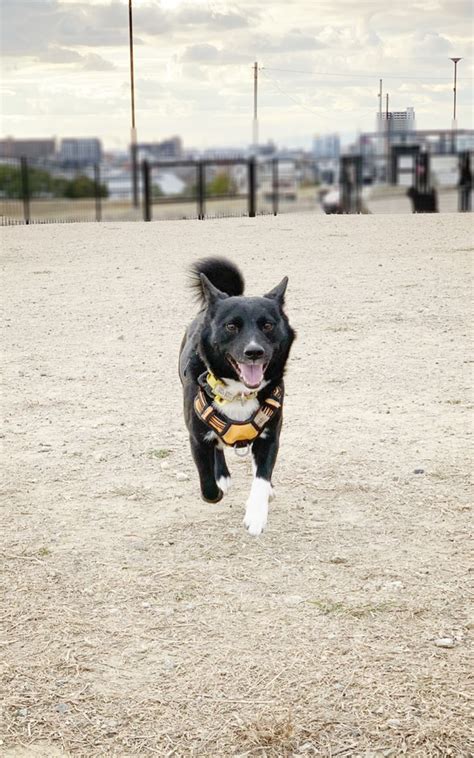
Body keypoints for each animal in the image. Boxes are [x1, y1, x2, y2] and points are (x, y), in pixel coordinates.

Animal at [179, 258, 294, 536]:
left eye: (268, 325)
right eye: (231, 326)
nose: (254, 352)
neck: (240, 393)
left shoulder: (270, 436)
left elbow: (262, 477)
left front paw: (256, 513)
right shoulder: (197, 438)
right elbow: (208, 486)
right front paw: (217, 486)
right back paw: (223, 476)